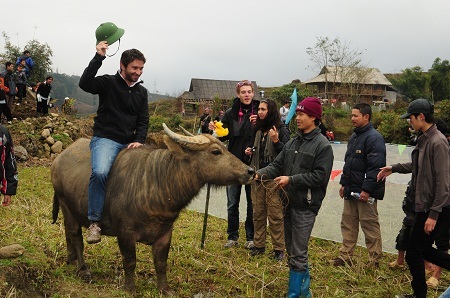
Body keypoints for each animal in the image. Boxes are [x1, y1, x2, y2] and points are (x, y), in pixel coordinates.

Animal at [51, 123, 255, 294]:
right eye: (215, 151)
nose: (250, 171)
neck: (156, 182)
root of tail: (60, 158)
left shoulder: (165, 233)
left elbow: (161, 263)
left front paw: (165, 289)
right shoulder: (125, 233)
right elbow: (130, 261)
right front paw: (130, 288)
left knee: (68, 233)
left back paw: (71, 260)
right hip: (65, 203)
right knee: (76, 236)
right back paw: (83, 269)